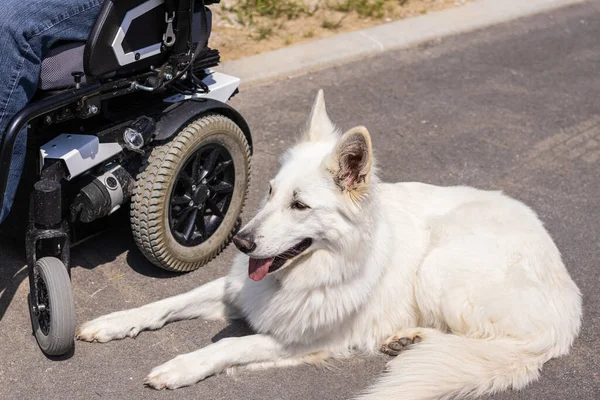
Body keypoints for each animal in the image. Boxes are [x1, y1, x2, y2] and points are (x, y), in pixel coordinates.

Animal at [77, 90, 584, 400]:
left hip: (440, 268)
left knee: (493, 343)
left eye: (300, 205)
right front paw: (114, 322)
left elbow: (227, 347)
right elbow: (166, 303)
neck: (310, 272)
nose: (241, 242)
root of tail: (567, 302)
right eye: (270, 193)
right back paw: (409, 338)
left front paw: (180, 367)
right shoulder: (237, 290)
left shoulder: (296, 341)